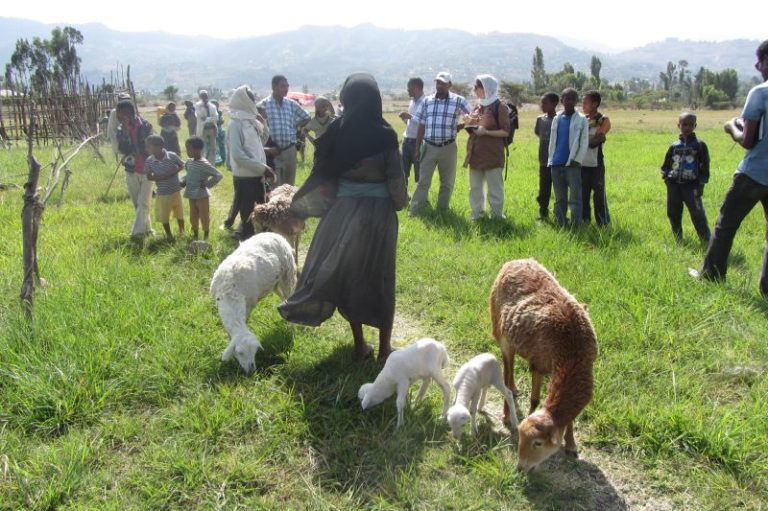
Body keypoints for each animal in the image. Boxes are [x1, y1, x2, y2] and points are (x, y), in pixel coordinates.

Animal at [210, 232, 296, 372]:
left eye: (255, 352)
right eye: (240, 352)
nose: (251, 371)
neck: (230, 293)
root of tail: (275, 234)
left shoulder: (249, 304)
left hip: (287, 276)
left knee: (289, 296)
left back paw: (291, 327)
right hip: (275, 284)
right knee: (283, 298)